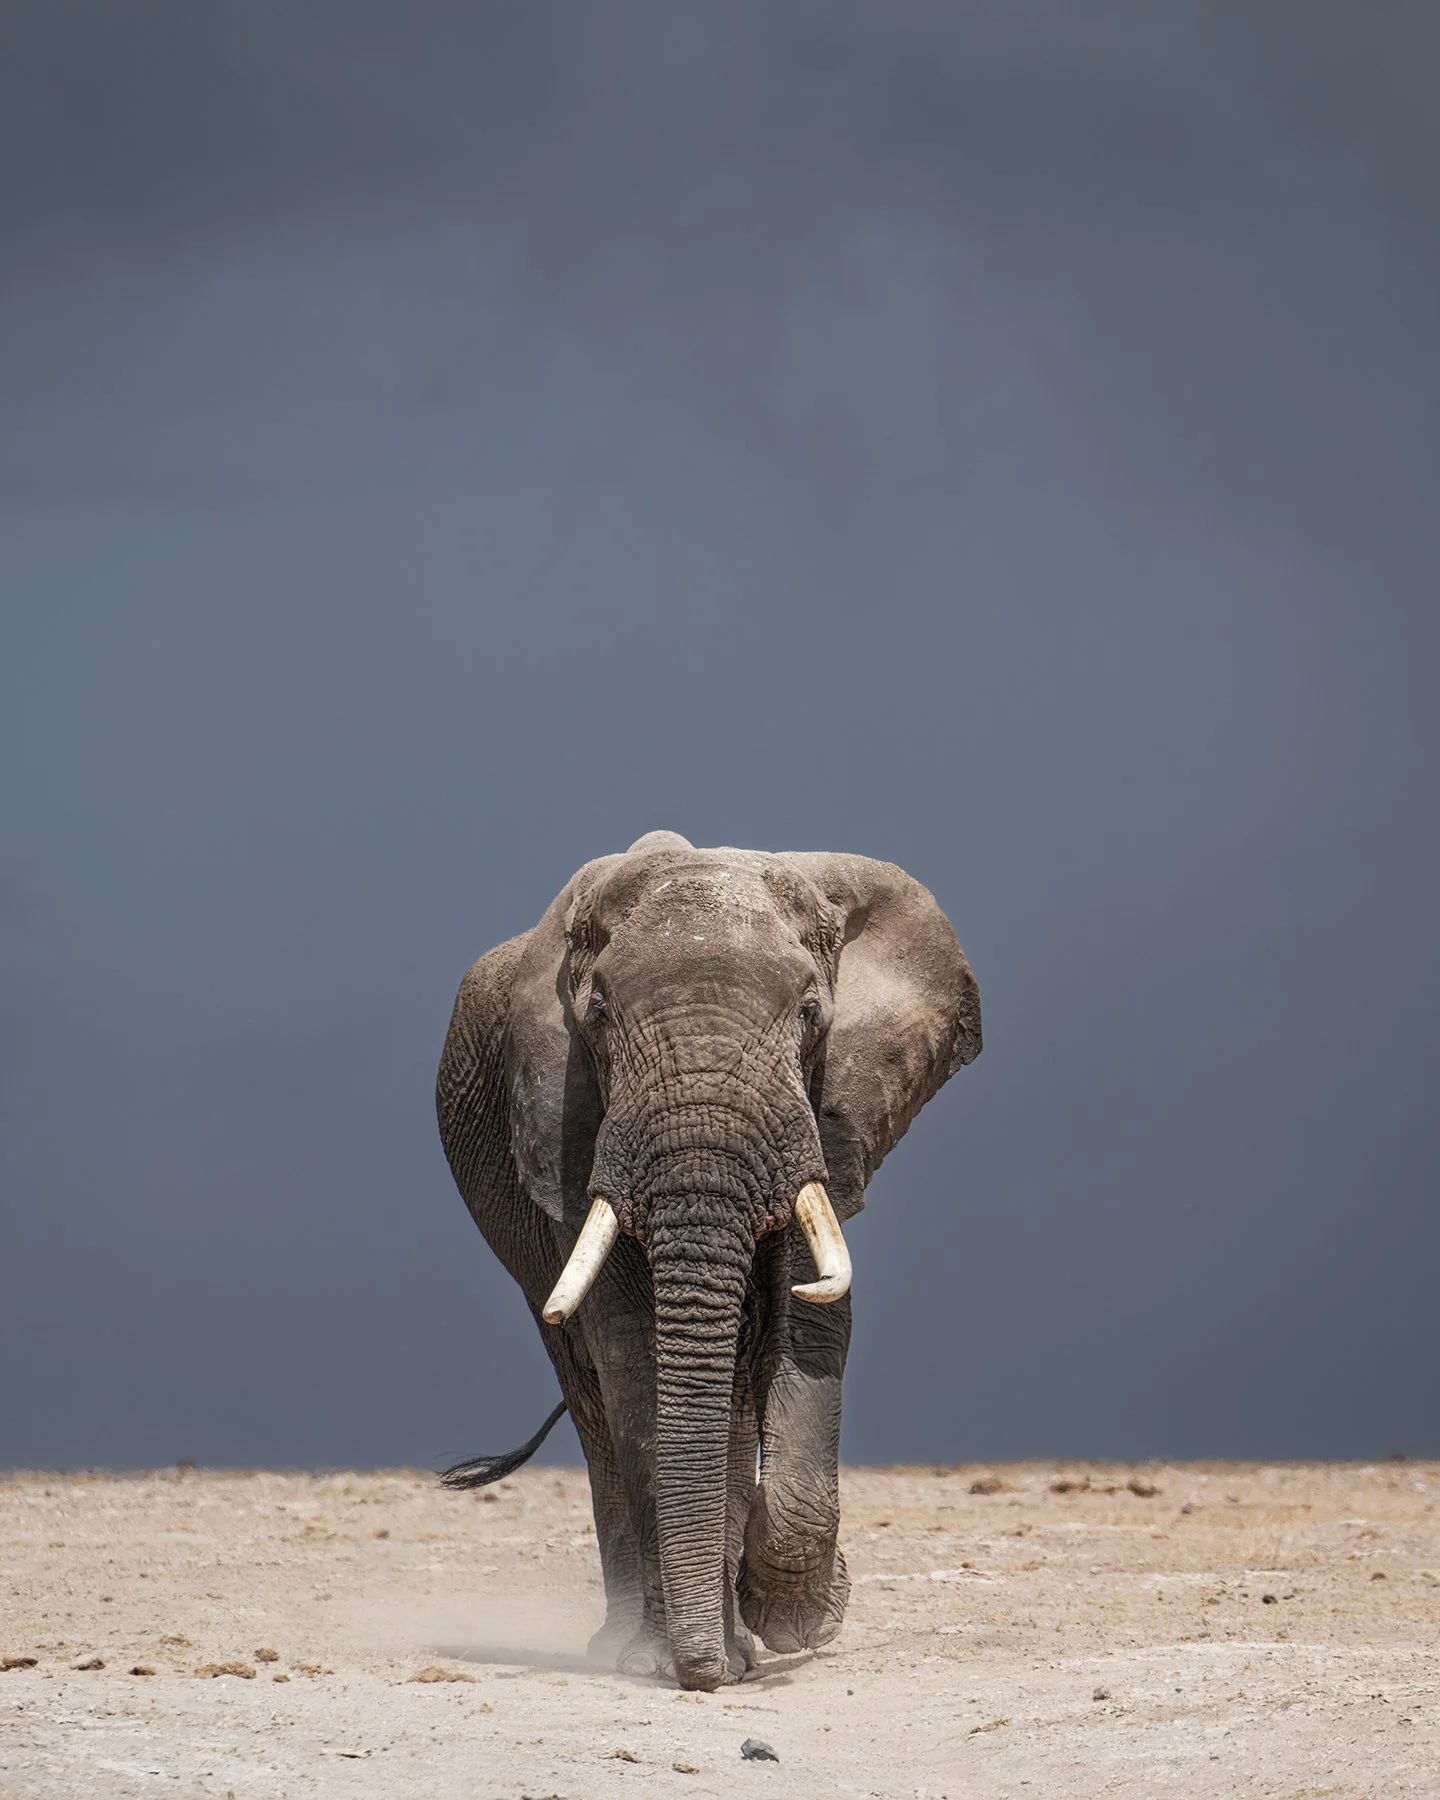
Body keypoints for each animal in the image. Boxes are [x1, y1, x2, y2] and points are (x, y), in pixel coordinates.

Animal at [435, 831, 981, 1690]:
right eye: (597, 1015)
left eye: (810, 1012)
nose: (701, 1675)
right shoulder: (573, 1122)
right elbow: (635, 1351)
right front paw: (674, 1658)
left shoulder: (821, 1117)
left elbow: (810, 1319)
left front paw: (790, 1621)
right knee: (593, 1399)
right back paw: (630, 1646)